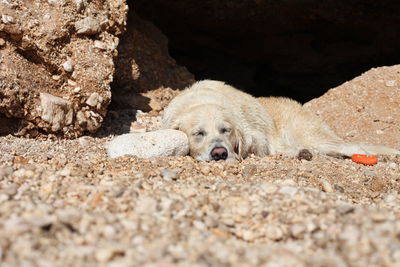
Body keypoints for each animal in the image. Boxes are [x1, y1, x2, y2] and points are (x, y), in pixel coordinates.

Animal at [161, 80, 398, 161]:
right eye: (198, 133)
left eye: (225, 130)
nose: (219, 153)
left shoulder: (255, 135)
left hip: (311, 135)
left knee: (354, 147)